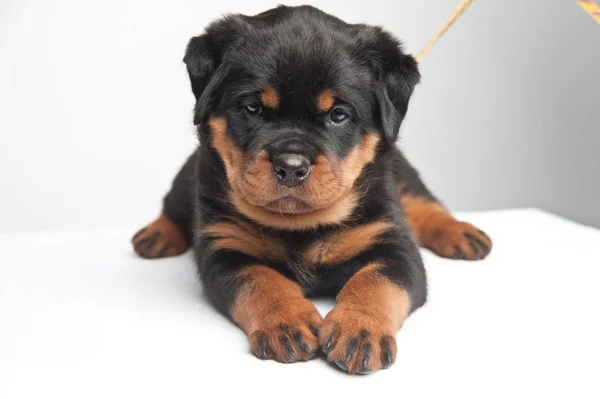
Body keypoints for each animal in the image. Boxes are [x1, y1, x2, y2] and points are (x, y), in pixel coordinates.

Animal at [132, 5, 492, 376]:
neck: (299, 225)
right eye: (252, 108)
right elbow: (260, 279)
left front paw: (359, 330)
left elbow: (376, 281)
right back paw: (156, 235)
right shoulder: (225, 246)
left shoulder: (392, 243)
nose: (291, 165)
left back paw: (460, 232)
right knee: (173, 205)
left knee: (421, 200)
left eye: (338, 115)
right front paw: (286, 322)